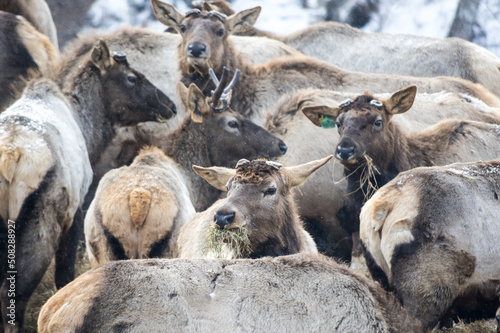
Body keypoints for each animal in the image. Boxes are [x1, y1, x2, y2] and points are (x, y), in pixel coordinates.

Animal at [0, 39, 176, 332]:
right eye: (131, 77)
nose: (170, 105)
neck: (88, 130)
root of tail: (10, 157)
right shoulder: (75, 212)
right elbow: (64, 276)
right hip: (40, 222)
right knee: (14, 293)